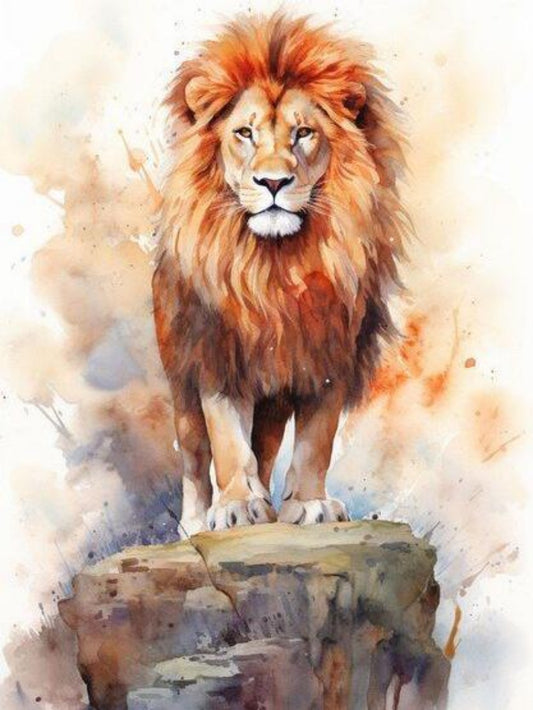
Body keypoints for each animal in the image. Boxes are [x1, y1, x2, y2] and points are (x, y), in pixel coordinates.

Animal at [152, 13, 409, 532]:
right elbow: (226, 439)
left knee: (266, 446)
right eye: (244, 133)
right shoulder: (217, 350)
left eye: (304, 133)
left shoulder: (331, 352)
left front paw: (308, 504)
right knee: (194, 453)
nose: (273, 182)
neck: (277, 266)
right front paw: (234, 506)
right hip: (180, 368)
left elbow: (316, 440)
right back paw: (195, 521)